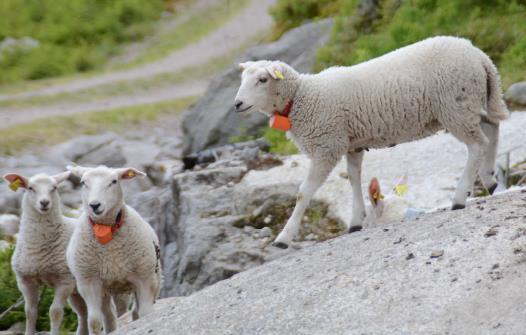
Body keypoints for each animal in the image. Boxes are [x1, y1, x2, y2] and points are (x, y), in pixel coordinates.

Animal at [3, 173, 87, 335]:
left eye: (54, 188)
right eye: (30, 188)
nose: (44, 202)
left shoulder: (64, 281)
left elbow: (55, 312)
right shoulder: (25, 281)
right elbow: (30, 312)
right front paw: (29, 332)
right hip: (77, 291)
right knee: (83, 313)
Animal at [66, 165, 162, 335]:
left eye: (114, 181)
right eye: (83, 183)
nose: (94, 205)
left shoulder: (144, 278)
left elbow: (145, 313)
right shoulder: (88, 282)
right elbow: (94, 322)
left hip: (154, 278)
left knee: (135, 312)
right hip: (105, 290)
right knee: (109, 316)